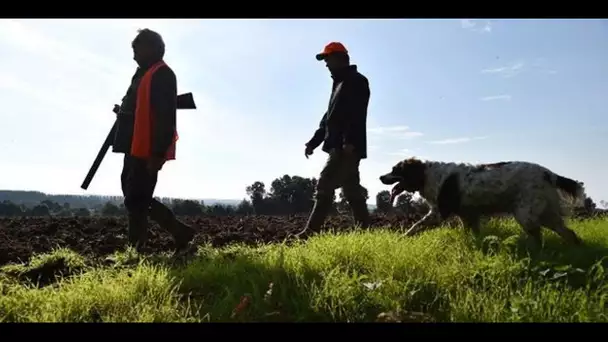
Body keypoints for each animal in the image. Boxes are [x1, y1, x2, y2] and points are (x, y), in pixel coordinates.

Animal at [380, 158, 584, 246]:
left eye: (395, 169)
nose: (381, 177)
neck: (426, 175)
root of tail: (549, 174)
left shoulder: (439, 212)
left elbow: (414, 226)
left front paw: (401, 238)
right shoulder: (468, 215)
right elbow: (471, 233)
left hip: (526, 213)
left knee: (538, 237)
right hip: (547, 213)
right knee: (569, 233)